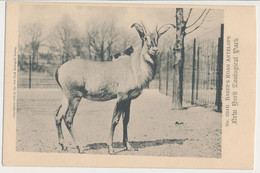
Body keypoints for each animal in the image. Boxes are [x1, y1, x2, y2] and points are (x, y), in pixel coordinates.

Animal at [55, 22, 173, 154]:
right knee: (68, 119)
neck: (134, 66)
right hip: (75, 97)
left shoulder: (128, 99)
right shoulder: (121, 96)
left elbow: (125, 120)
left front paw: (128, 145)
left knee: (58, 116)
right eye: (145, 38)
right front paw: (110, 147)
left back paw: (62, 145)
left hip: (66, 97)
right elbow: (115, 120)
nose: (155, 50)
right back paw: (79, 147)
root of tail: (59, 69)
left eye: (158, 37)